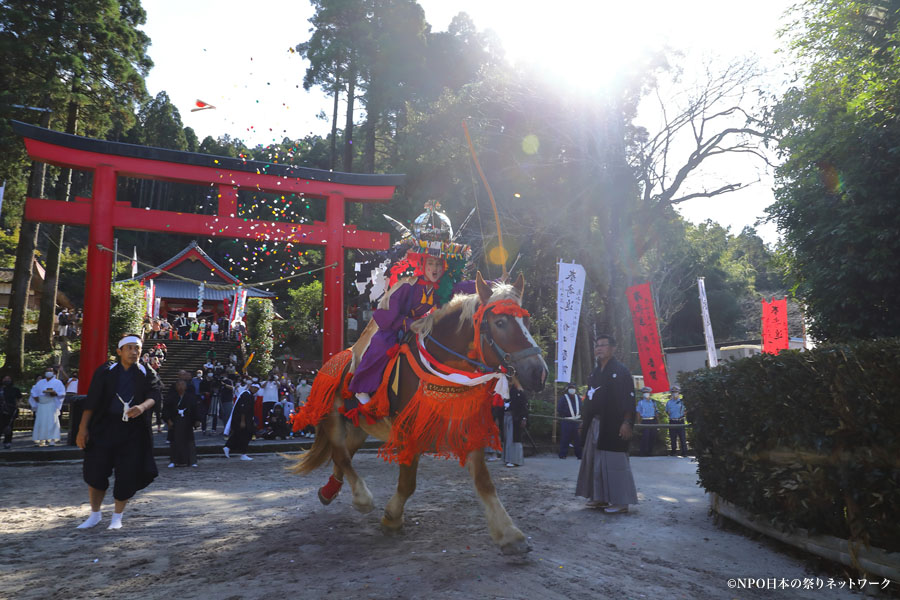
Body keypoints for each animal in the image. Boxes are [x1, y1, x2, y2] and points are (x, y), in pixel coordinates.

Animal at [284, 272, 548, 552]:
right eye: (500, 322)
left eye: (526, 320)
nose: (539, 373)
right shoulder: (409, 429)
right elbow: (408, 482)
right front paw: (391, 517)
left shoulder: (466, 427)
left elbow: (485, 483)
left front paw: (509, 532)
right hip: (333, 416)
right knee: (340, 454)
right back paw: (362, 498)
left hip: (359, 425)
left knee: (342, 454)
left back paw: (330, 490)